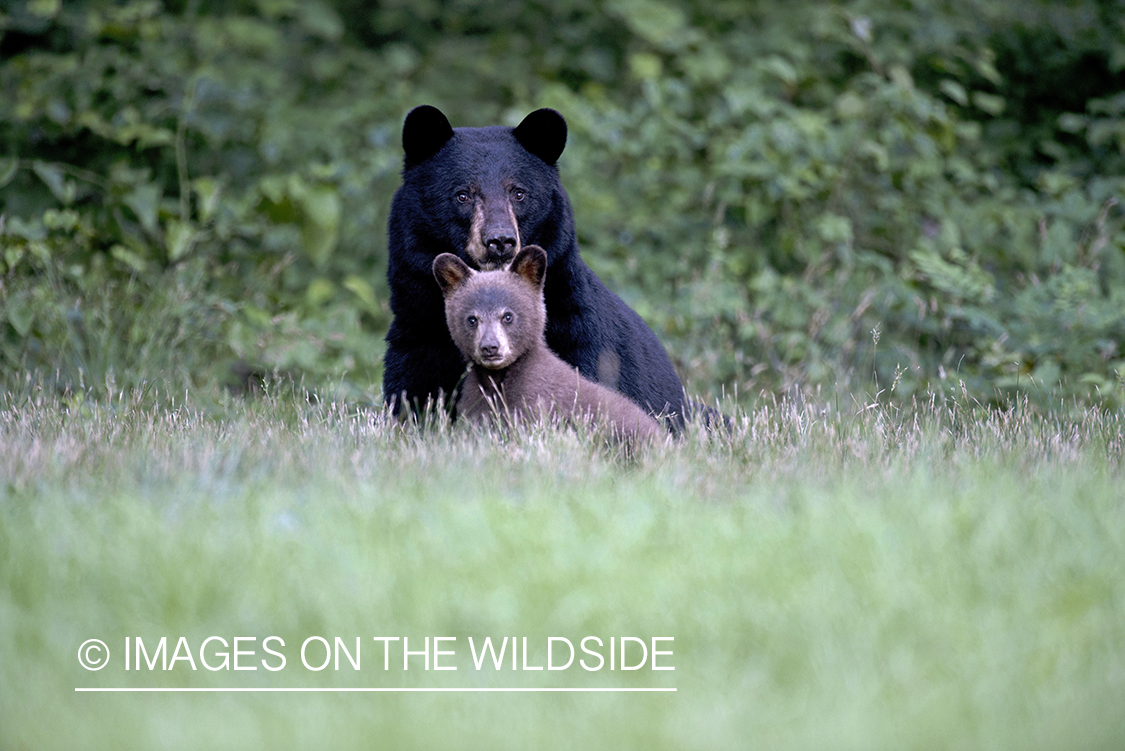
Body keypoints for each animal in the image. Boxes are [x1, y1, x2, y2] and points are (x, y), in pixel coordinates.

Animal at [429, 243, 657, 442]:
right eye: (472, 319)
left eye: (508, 316)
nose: (490, 347)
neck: (498, 380)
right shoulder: (474, 404)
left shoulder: (536, 400)